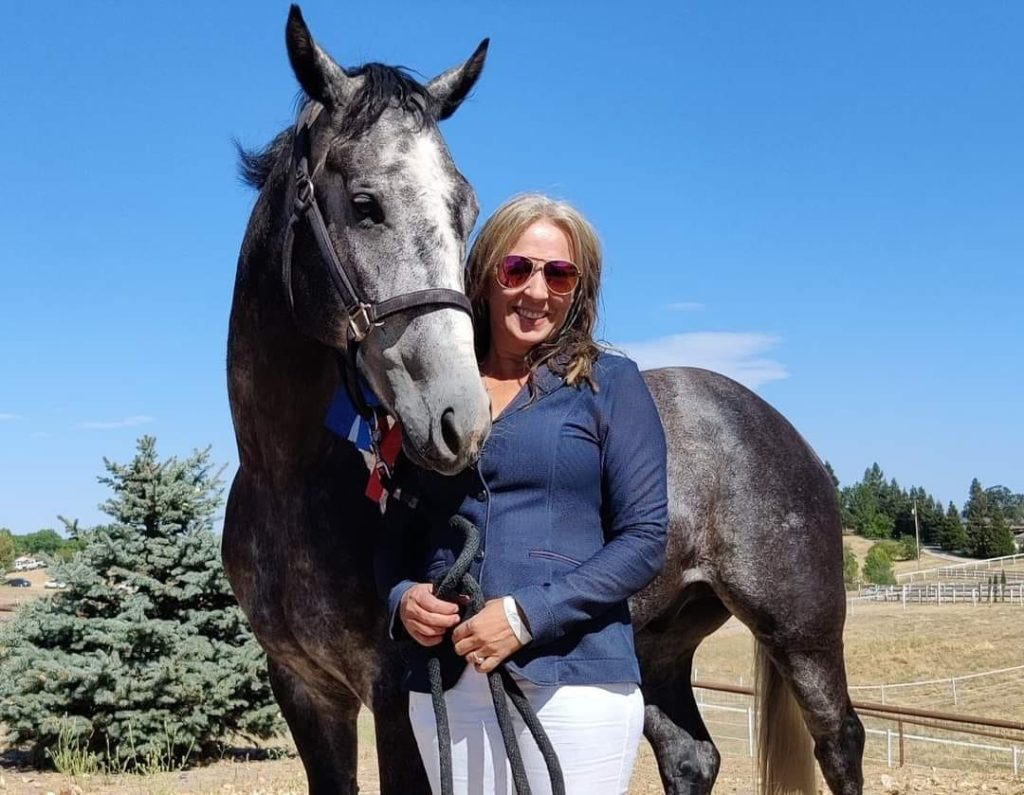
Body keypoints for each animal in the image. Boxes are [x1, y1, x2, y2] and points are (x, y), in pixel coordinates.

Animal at [224, 7, 864, 795]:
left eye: (466, 208)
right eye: (365, 204)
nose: (460, 418)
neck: (290, 478)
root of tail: (773, 425)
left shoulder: (395, 695)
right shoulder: (303, 689)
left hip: (804, 636)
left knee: (839, 741)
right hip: (658, 646)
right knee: (691, 755)